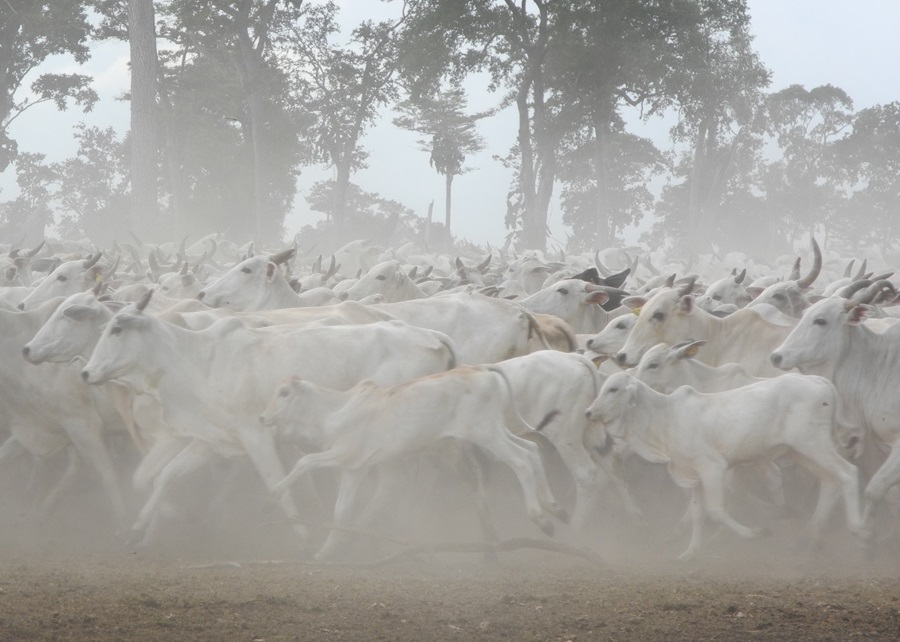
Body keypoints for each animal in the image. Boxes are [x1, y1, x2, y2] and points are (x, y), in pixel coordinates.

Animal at [584, 370, 864, 560]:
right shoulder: (693, 475)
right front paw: (691, 552)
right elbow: (697, 514)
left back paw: (858, 531)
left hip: (812, 444)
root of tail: (819, 380)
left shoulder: (713, 468)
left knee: (847, 473)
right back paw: (809, 538)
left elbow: (716, 510)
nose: (588, 412)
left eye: (614, 389)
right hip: (800, 451)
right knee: (830, 482)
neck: (667, 418)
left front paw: (755, 534)